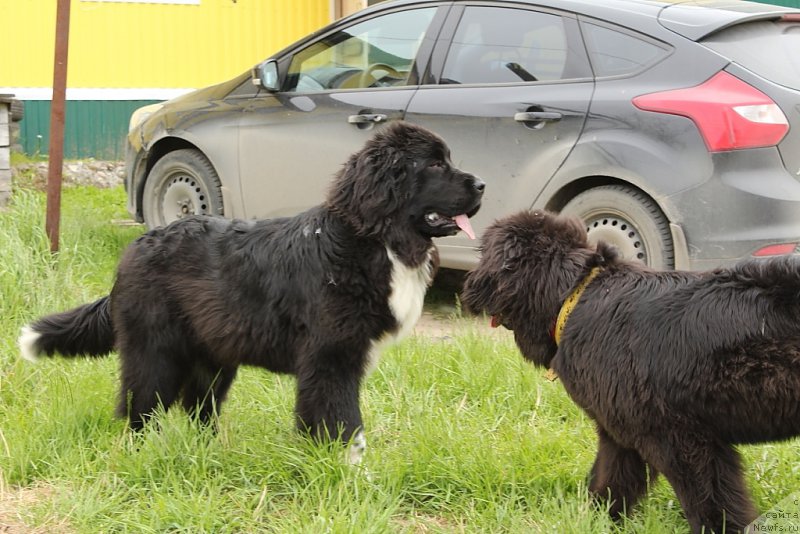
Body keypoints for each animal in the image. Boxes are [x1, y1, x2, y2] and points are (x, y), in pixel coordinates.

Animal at [20, 122, 482, 464]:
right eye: (435, 165)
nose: (481, 185)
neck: (372, 240)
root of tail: (137, 245)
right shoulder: (330, 358)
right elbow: (345, 424)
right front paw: (349, 475)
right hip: (154, 351)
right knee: (140, 408)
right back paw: (140, 455)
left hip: (213, 357)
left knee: (198, 410)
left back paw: (208, 454)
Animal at [460, 211, 800, 532]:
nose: (469, 283)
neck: (575, 295)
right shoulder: (619, 432)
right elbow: (610, 482)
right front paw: (594, 522)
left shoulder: (683, 440)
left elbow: (711, 501)